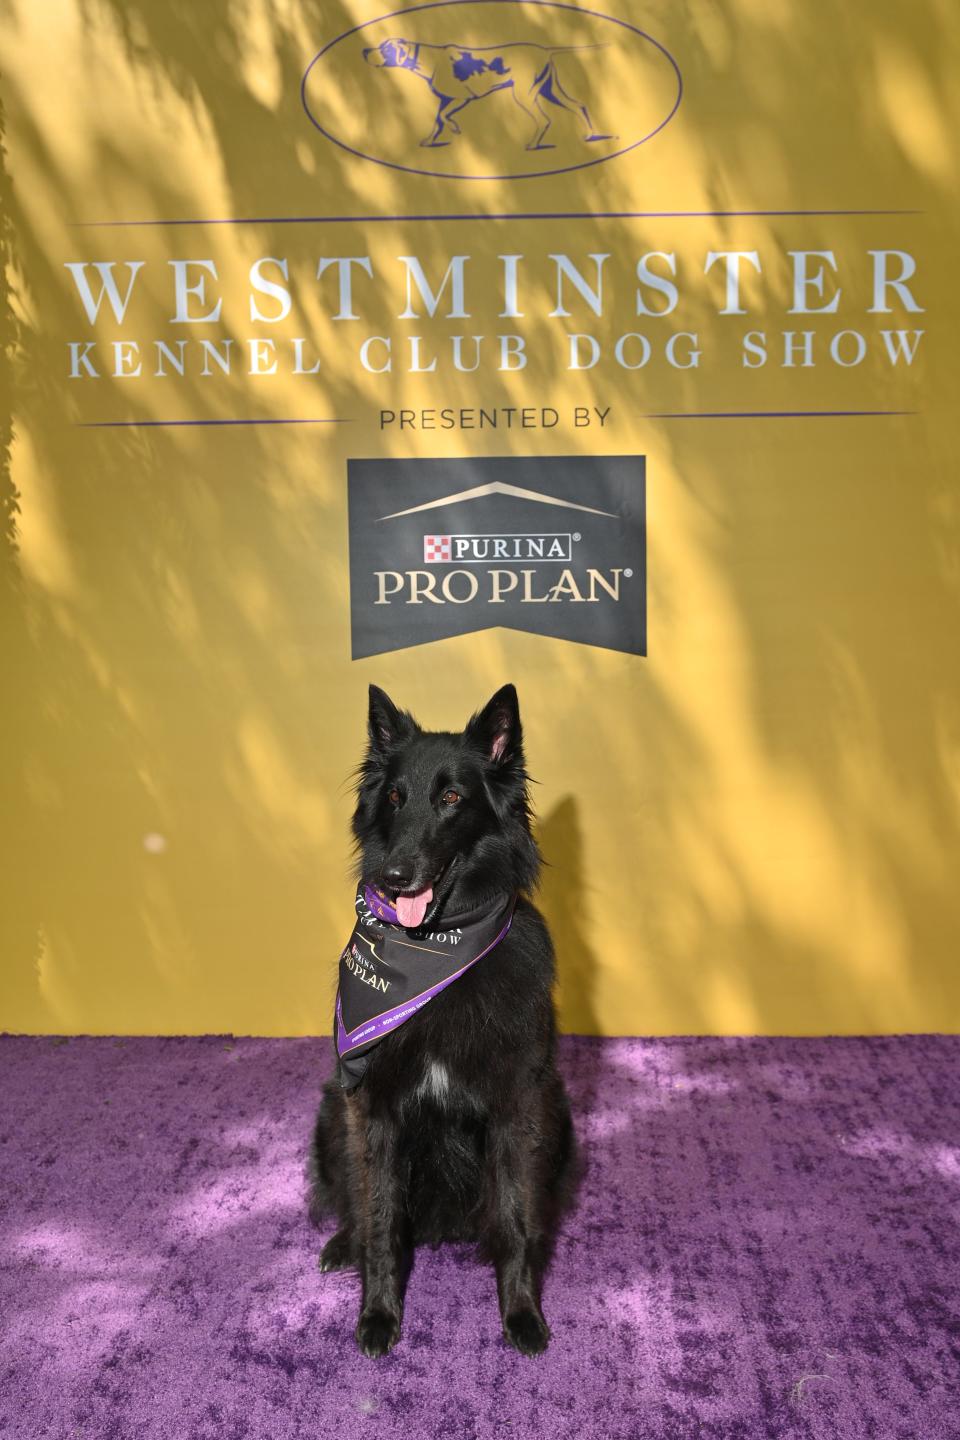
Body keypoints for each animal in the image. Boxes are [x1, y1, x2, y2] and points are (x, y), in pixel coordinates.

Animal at [312, 685, 575, 1359]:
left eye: (452, 798)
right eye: (395, 798)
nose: (393, 876)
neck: (435, 952)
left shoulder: (517, 1107)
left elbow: (514, 1220)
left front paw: (521, 1314)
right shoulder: (372, 1107)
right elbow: (379, 1218)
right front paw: (379, 1315)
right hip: (331, 1110)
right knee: (350, 1203)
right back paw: (341, 1245)